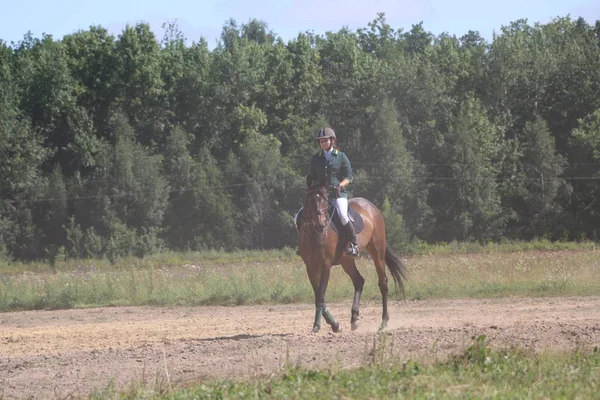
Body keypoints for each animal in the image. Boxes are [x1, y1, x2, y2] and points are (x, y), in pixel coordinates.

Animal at [294, 180, 408, 332]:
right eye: (309, 201)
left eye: (324, 199)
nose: (320, 224)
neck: (314, 234)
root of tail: (372, 207)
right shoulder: (310, 267)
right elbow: (318, 295)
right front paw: (330, 325)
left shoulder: (326, 265)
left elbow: (321, 295)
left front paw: (324, 325)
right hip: (346, 261)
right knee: (359, 281)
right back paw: (354, 319)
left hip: (377, 253)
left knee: (383, 283)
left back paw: (384, 322)